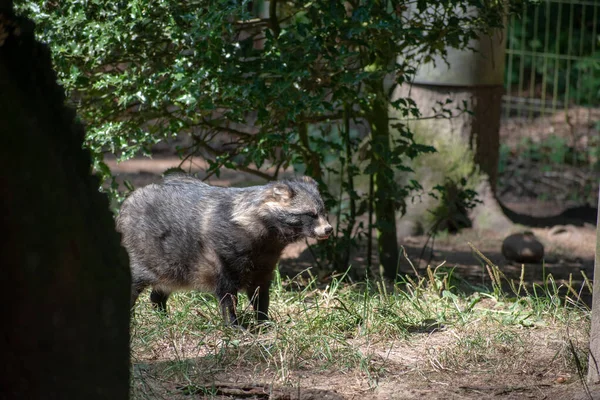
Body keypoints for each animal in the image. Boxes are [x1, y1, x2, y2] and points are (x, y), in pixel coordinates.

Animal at [117, 174, 332, 324]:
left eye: (323, 212)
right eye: (311, 214)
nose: (328, 229)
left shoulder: (265, 259)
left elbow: (260, 289)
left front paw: (263, 318)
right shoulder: (223, 253)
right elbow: (226, 292)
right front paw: (232, 322)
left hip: (171, 264)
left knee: (161, 289)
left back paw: (162, 312)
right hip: (143, 251)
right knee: (134, 282)